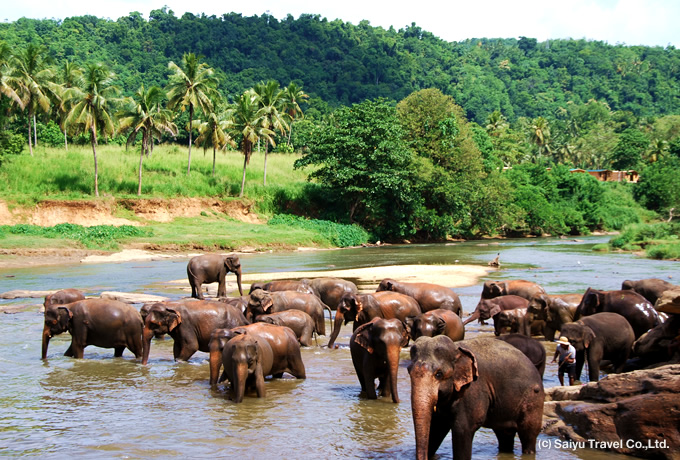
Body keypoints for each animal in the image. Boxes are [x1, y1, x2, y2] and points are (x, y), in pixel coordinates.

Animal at [406, 336, 544, 458]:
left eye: (438, 374)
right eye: (408, 371)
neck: (457, 349)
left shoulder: (473, 390)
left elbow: (463, 428)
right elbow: (436, 428)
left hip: (533, 399)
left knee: (528, 434)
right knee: (505, 435)